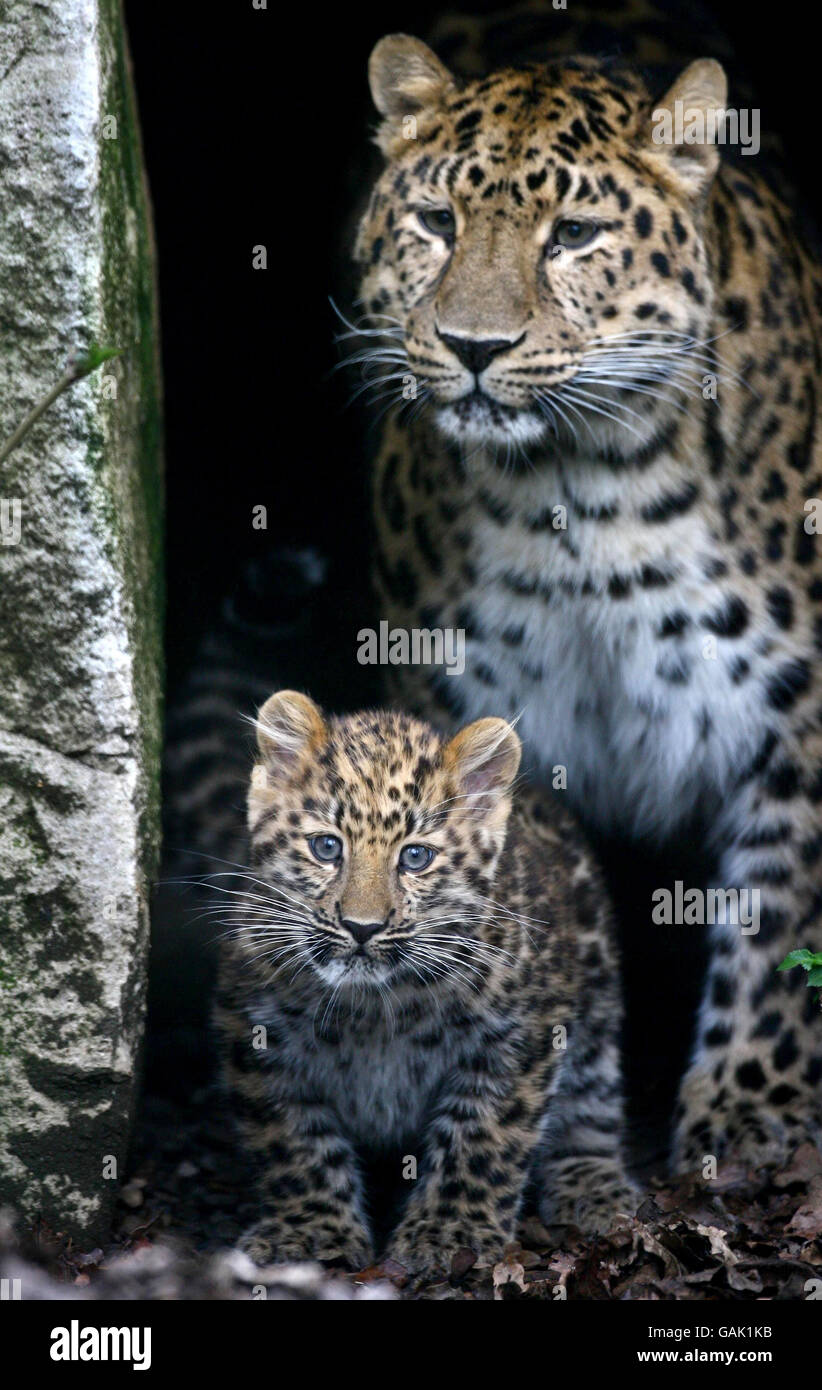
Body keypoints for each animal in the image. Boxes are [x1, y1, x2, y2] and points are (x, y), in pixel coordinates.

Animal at [353, 5, 822, 1173]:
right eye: (435, 220)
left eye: (571, 236)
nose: (474, 346)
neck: (579, 502)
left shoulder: (797, 716)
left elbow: (780, 912)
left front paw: (748, 1106)